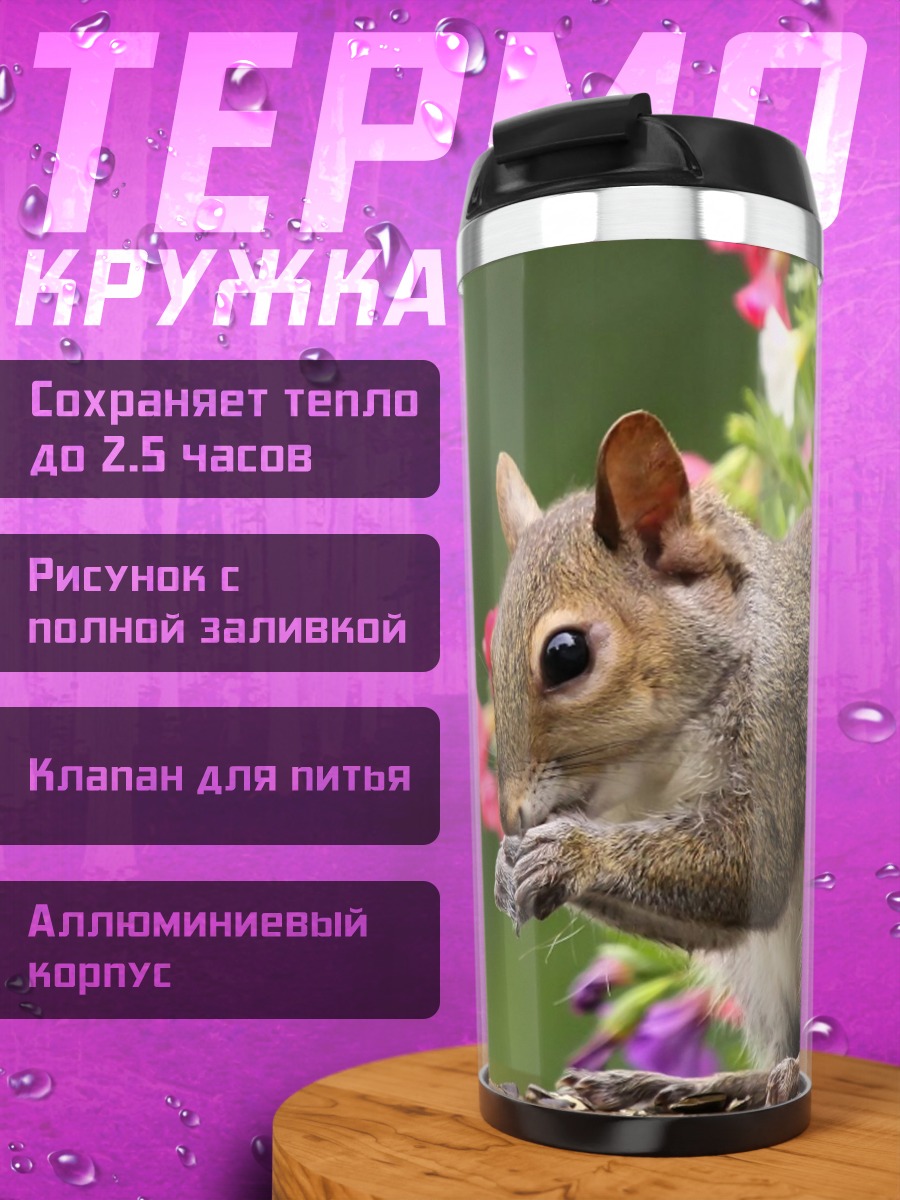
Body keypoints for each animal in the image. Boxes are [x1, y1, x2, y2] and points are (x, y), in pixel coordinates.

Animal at [491, 410, 810, 1112]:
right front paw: (509, 868)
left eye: (565, 654)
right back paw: (673, 1084)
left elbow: (744, 862)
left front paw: (568, 854)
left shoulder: (779, 735)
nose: (512, 817)